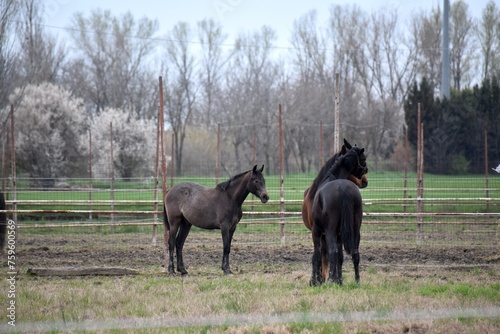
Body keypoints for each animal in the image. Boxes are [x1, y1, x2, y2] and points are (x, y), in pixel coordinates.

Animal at [300, 138, 368, 282]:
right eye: (363, 159)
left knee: (331, 252)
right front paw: (338, 280)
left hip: (329, 231)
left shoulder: (317, 232)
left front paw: (315, 281)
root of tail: (343, 189)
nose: (364, 180)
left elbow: (317, 256)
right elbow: (339, 258)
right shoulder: (340, 233)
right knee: (355, 253)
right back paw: (356, 281)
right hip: (355, 229)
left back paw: (330, 280)